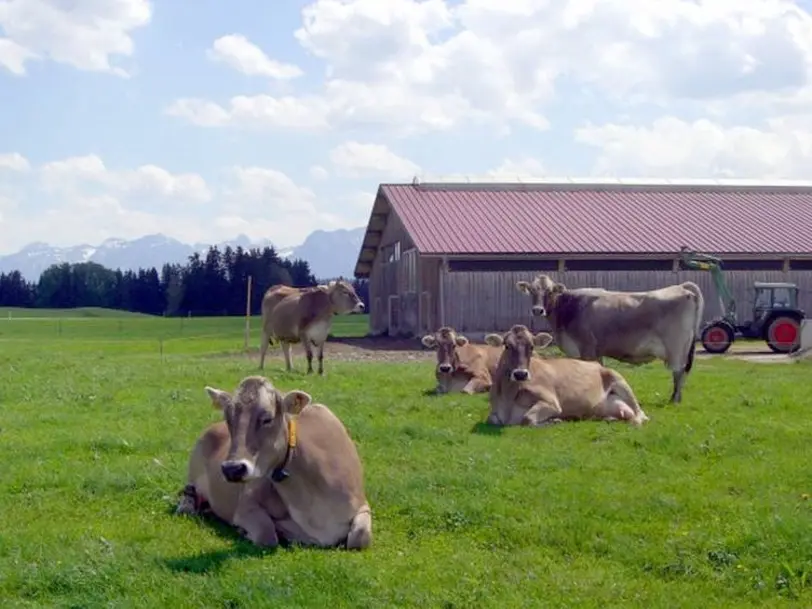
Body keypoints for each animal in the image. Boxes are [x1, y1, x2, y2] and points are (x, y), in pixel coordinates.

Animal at [176, 376, 372, 552]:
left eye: (267, 419)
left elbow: (360, 537)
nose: (232, 469)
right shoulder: (245, 504)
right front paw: (245, 531)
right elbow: (267, 535)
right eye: (229, 419)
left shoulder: (362, 505)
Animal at [482, 324, 648, 428]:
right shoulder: (493, 414)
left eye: (532, 347)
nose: (521, 374)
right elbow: (491, 419)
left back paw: (636, 421)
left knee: (641, 413)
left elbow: (527, 419)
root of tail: (597, 364)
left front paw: (554, 421)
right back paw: (610, 418)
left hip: (619, 380)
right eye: (507, 346)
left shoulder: (552, 402)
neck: (508, 398)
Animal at [520, 274, 704, 402]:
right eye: (532, 290)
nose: (537, 310)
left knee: (678, 371)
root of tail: (681, 287)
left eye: (549, 291)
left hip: (676, 347)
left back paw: (675, 399)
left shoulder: (587, 348)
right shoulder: (596, 352)